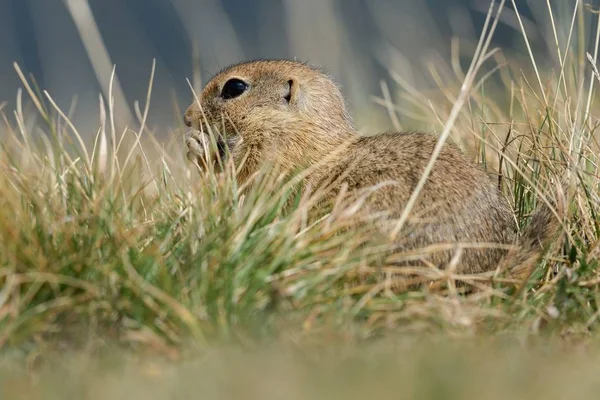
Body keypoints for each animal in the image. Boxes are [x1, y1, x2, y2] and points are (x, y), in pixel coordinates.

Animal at [184, 59, 564, 278]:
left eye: (235, 87)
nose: (186, 118)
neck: (303, 130)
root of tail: (495, 266)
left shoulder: (273, 158)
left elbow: (245, 185)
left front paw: (199, 150)